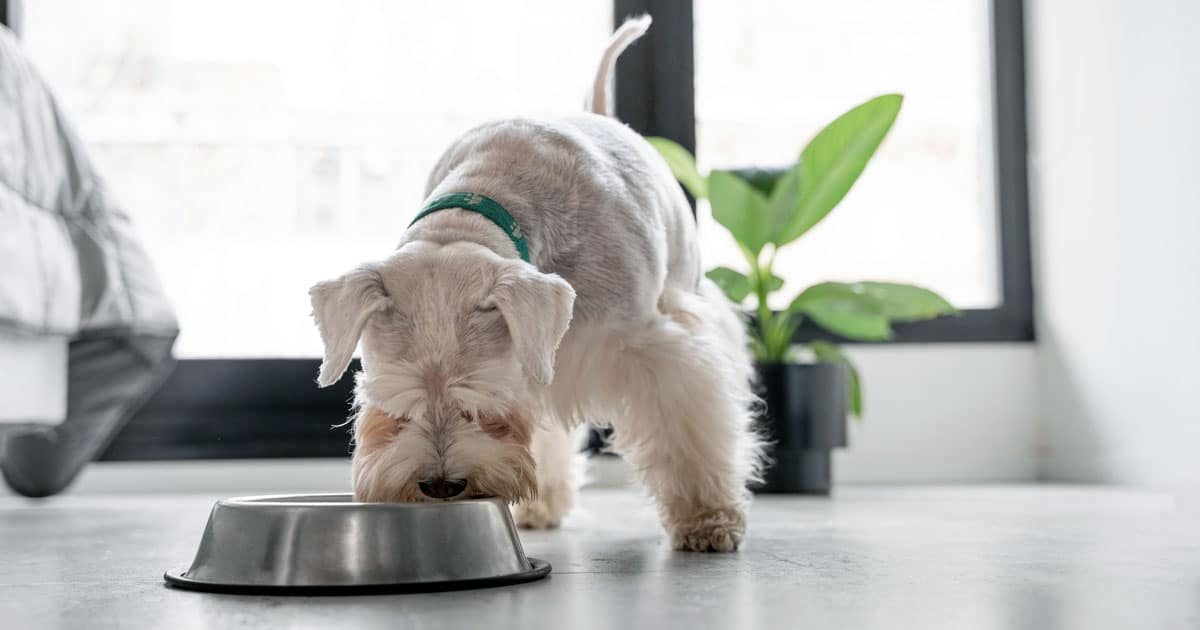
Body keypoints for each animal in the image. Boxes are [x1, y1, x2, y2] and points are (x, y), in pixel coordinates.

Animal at [309, 15, 758, 549]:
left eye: (483, 402)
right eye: (395, 405)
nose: (441, 485)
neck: (479, 205)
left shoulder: (652, 348)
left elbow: (685, 426)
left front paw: (707, 519)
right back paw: (542, 506)